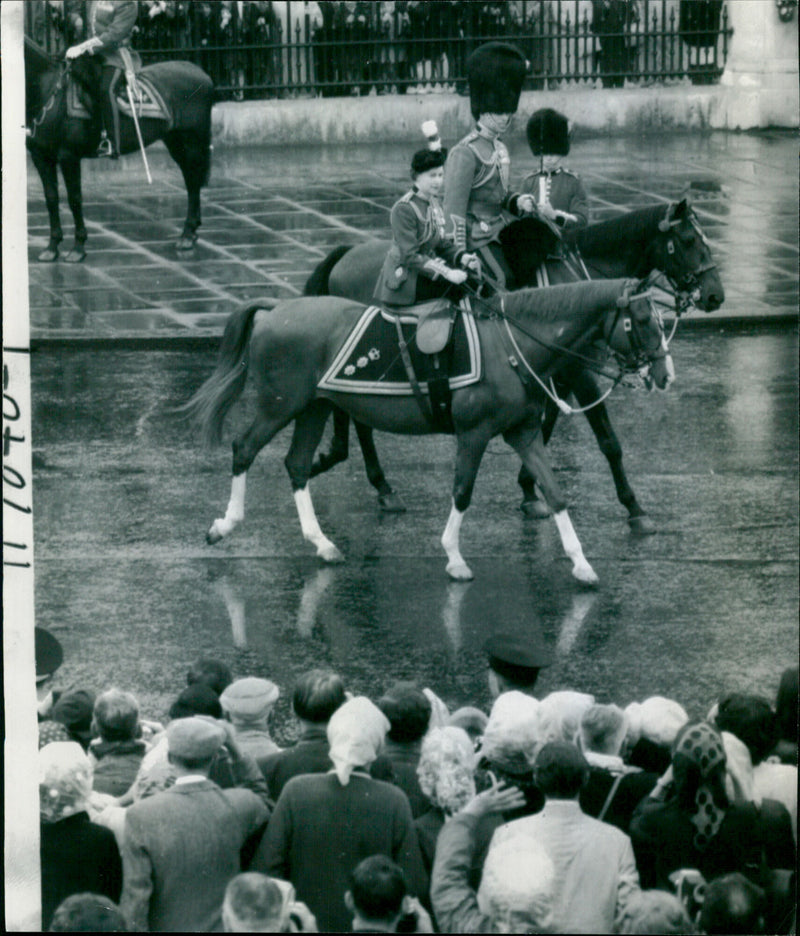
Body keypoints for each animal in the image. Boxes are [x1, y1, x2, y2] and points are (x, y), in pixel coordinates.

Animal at [24, 37, 212, 262]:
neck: (47, 89)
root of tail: (202, 74)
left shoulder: (69, 157)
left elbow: (74, 199)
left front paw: (78, 247)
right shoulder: (41, 157)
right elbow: (51, 198)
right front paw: (52, 247)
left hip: (191, 141)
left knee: (193, 182)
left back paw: (187, 235)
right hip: (176, 142)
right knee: (191, 179)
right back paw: (191, 232)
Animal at [184, 280, 672, 584]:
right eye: (644, 319)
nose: (666, 375)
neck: (511, 344)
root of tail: (276, 309)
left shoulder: (523, 433)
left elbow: (555, 494)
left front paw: (581, 563)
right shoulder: (474, 433)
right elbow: (462, 491)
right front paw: (454, 557)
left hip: (313, 408)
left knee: (297, 465)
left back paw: (321, 543)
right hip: (280, 405)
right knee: (244, 448)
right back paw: (226, 524)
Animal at [304, 200, 720, 532]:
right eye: (688, 241)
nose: (716, 295)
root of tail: (345, 253)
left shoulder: (552, 369)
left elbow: (546, 425)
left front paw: (529, 488)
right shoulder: (576, 371)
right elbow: (608, 440)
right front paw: (634, 507)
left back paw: (361, 473)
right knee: (356, 417)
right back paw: (370, 479)